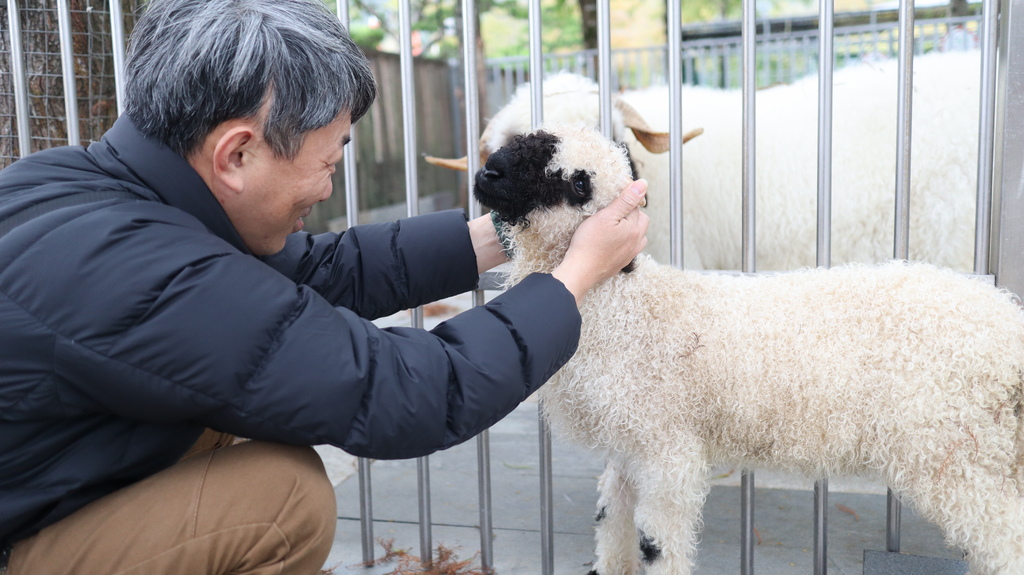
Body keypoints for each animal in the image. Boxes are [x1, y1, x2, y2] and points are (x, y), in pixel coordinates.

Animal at [475, 124, 1024, 572]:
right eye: (526, 140)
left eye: (577, 183)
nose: (488, 174)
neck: (627, 308)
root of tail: (1008, 323)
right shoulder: (628, 448)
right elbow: (612, 527)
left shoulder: (666, 450)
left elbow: (659, 544)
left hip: (955, 451)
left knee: (1006, 542)